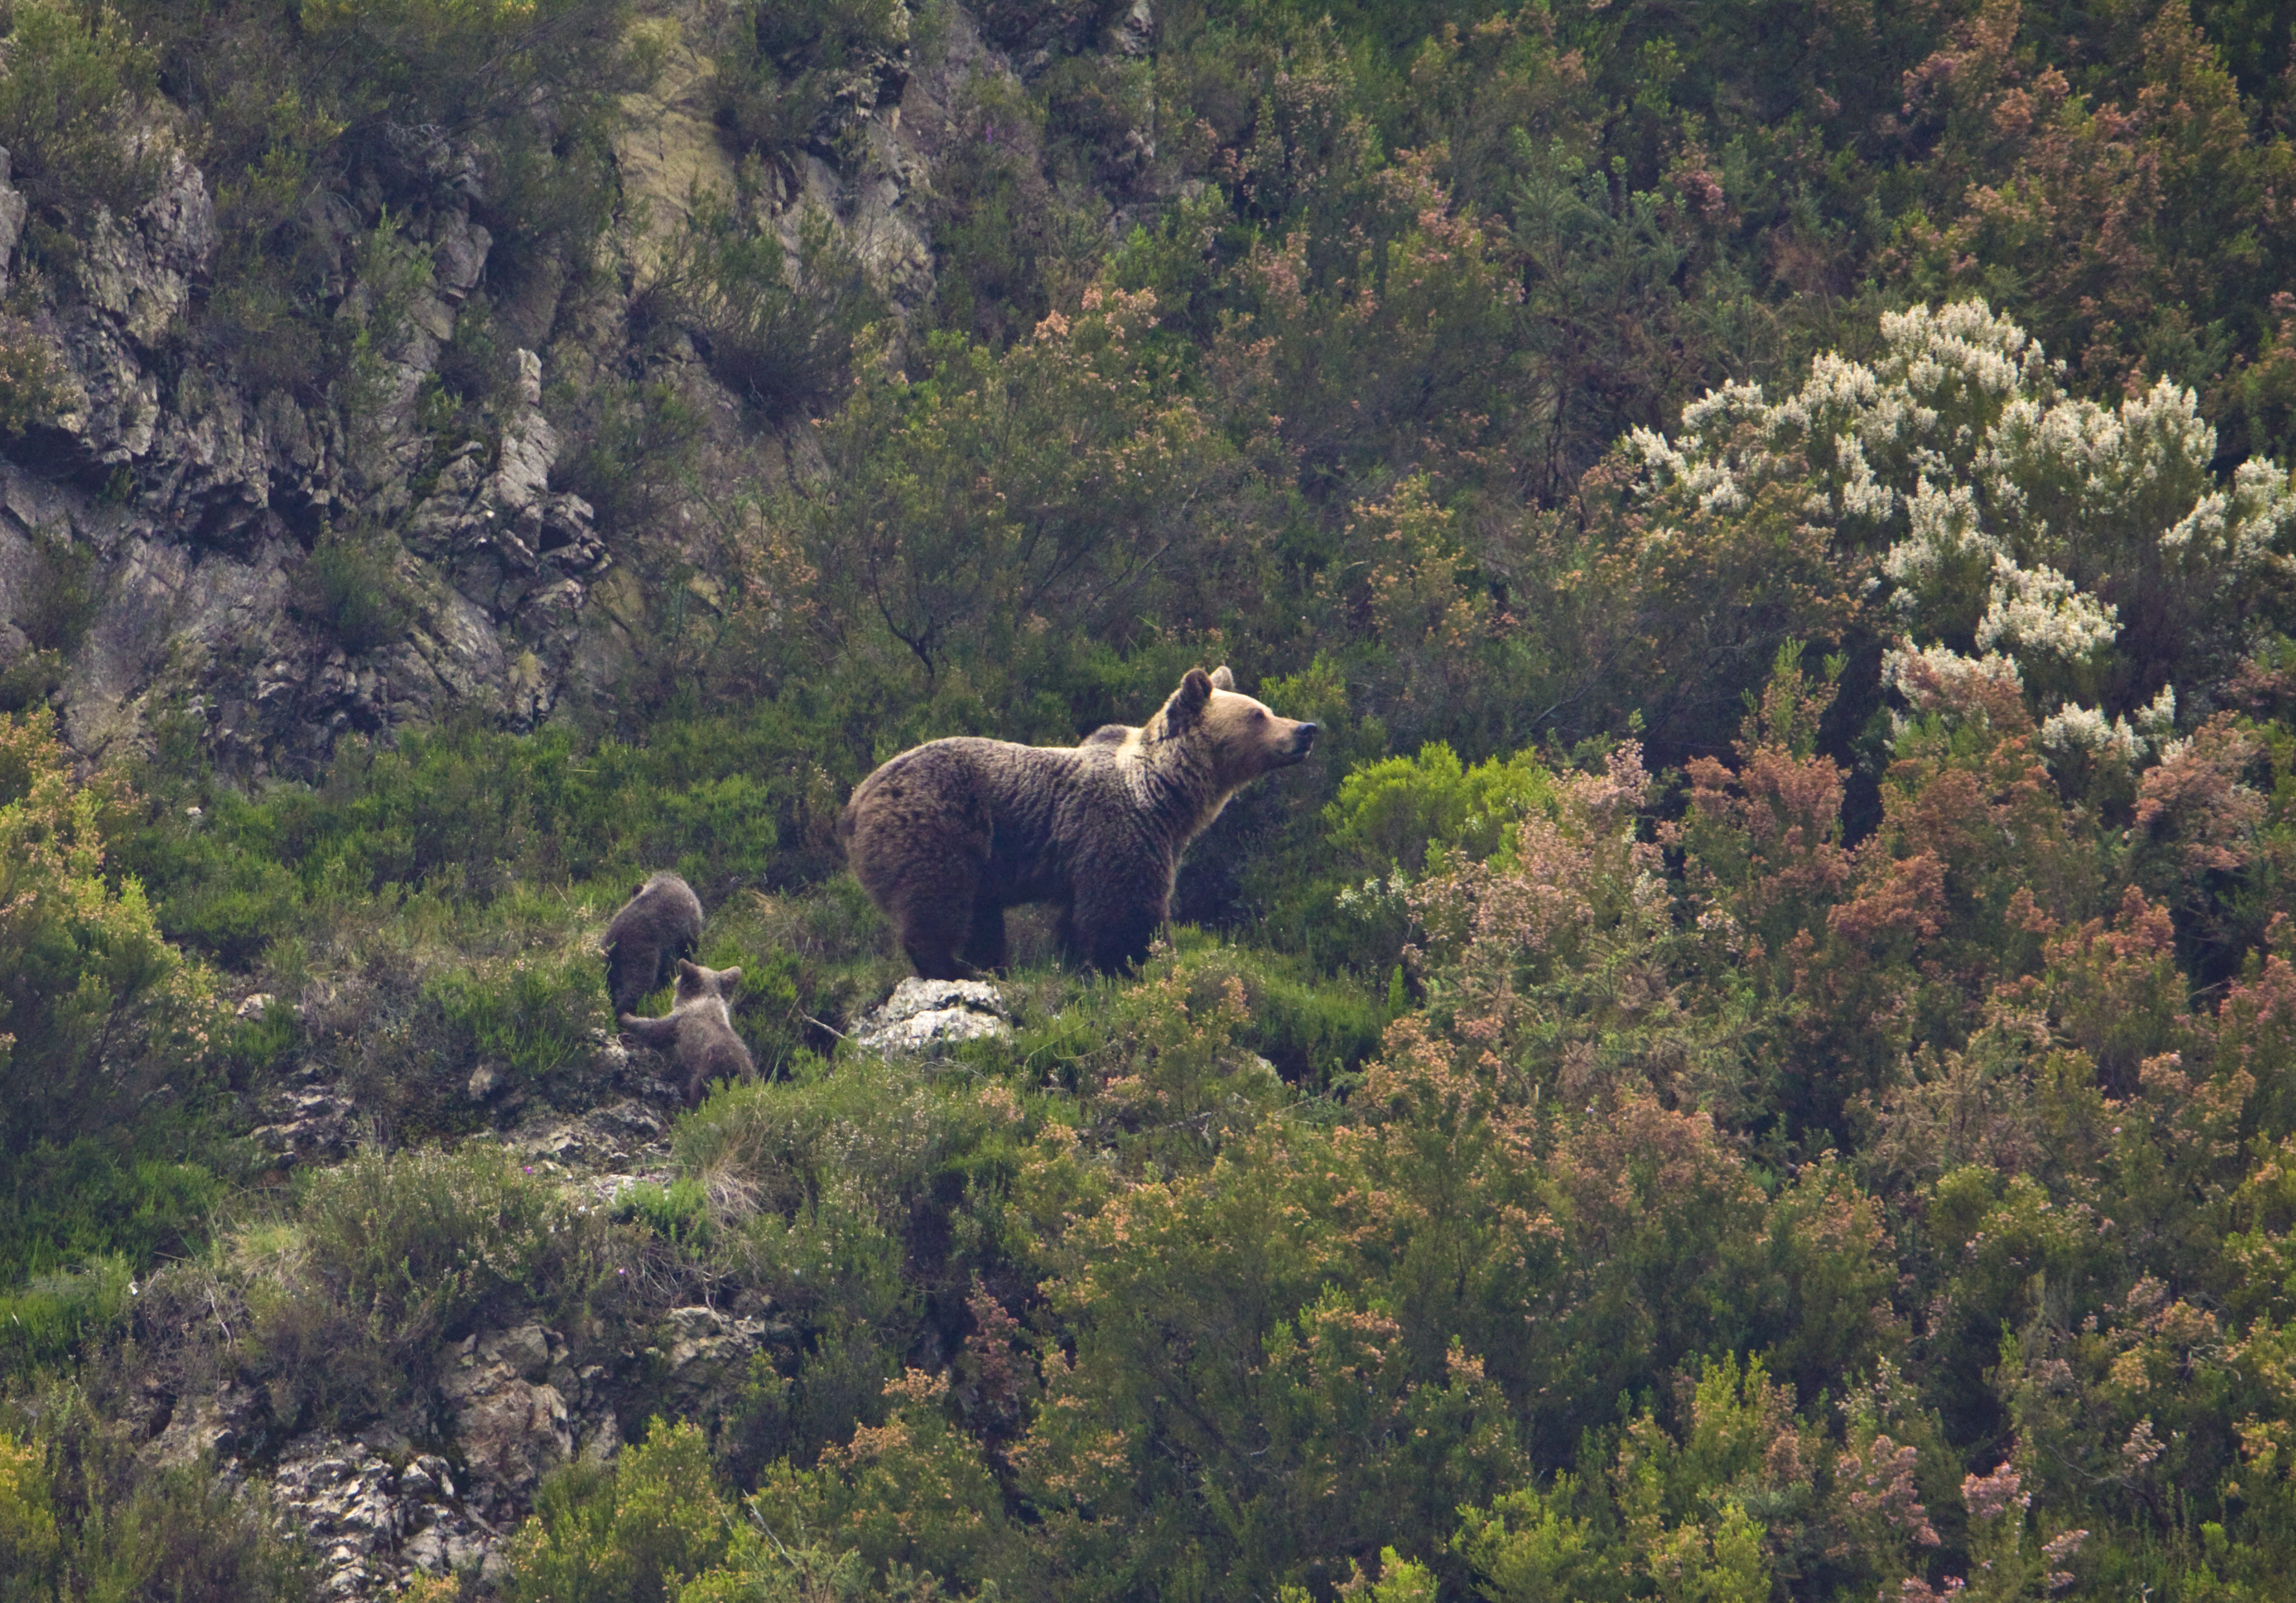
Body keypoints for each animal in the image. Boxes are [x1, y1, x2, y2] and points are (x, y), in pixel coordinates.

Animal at [840, 661, 1313, 973]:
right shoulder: (1118, 831)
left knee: (978, 913)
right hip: (940, 820)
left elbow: (1078, 918)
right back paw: (952, 967)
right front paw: (1144, 961)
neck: (1163, 795)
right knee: (939, 894)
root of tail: (856, 799)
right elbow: (1124, 913)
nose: (1306, 729)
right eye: (1258, 714)